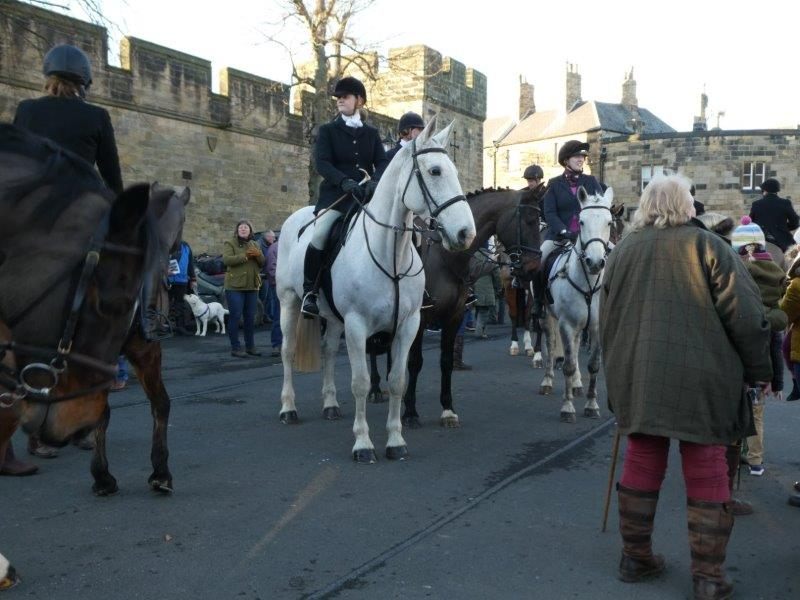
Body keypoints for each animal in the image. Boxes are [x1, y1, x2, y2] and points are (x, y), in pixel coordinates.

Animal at [276, 118, 476, 462]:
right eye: (435, 171)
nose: (466, 233)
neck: (390, 254)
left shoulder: (408, 324)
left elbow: (398, 380)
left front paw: (395, 440)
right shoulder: (358, 325)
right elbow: (360, 382)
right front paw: (363, 444)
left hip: (334, 319)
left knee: (329, 351)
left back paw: (330, 404)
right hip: (288, 302)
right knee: (287, 351)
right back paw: (288, 408)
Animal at [381, 188, 541, 428]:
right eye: (529, 220)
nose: (534, 269)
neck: (445, 256)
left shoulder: (454, 316)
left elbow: (446, 361)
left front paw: (448, 409)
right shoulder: (420, 317)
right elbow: (415, 362)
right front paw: (410, 412)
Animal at [538, 186, 614, 423]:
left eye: (609, 222)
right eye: (581, 222)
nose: (595, 262)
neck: (588, 282)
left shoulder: (597, 327)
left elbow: (594, 365)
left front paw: (591, 405)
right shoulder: (566, 324)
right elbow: (569, 365)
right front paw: (567, 407)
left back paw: (578, 385)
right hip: (547, 315)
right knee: (551, 344)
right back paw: (547, 381)